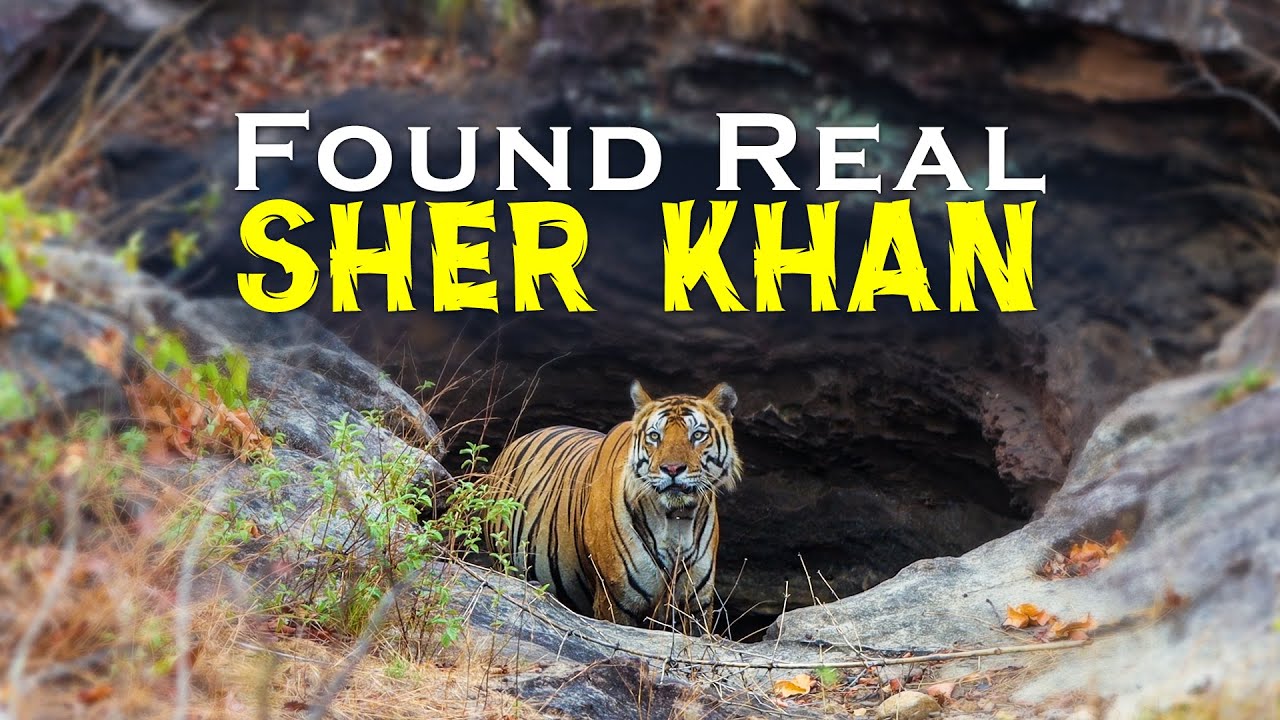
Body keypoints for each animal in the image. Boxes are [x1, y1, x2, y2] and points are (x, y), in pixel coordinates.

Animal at [485, 381, 741, 631]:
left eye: (697, 435)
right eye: (654, 436)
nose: (672, 469)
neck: (676, 521)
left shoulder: (697, 605)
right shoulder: (617, 600)